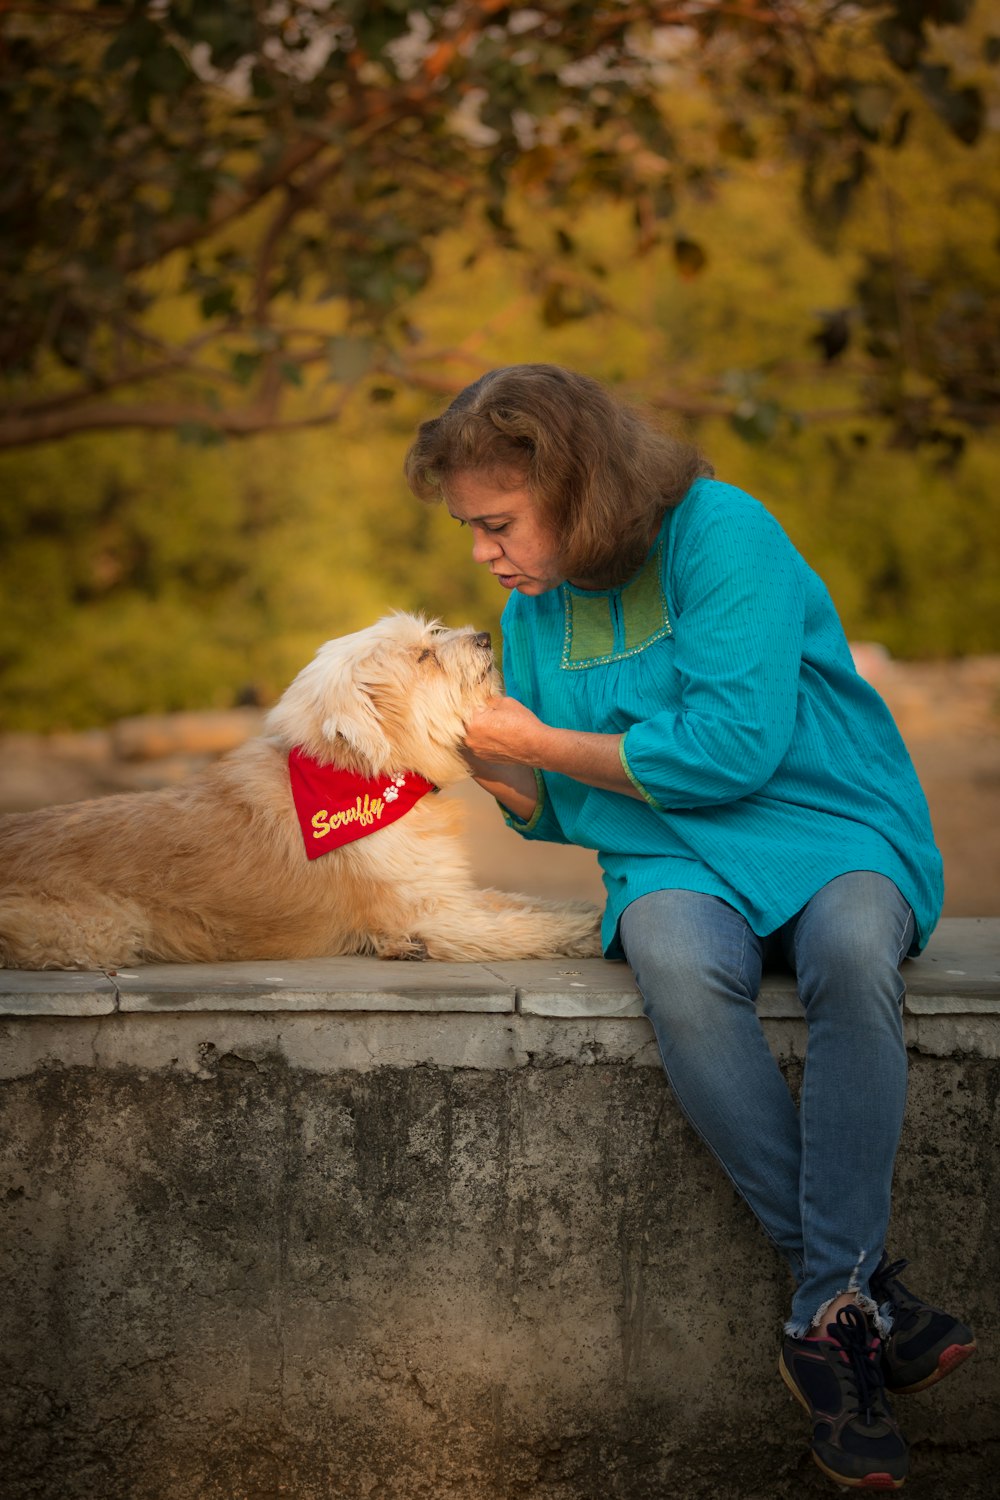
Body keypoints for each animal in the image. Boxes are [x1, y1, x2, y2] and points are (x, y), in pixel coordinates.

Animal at [0, 612, 602, 972]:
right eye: (424, 657)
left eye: (432, 636)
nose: (483, 636)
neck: (370, 779)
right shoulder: (431, 914)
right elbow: (526, 925)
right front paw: (594, 930)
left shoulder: (448, 892)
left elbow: (522, 902)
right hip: (102, 929)